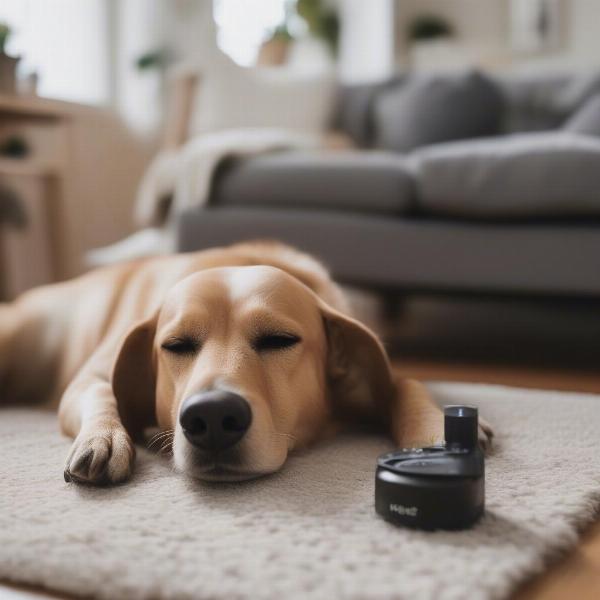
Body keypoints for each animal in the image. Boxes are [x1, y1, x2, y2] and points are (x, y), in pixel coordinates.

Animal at [1, 241, 492, 486]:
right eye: (176, 345)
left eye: (279, 341)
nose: (213, 417)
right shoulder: (89, 377)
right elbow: (102, 393)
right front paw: (104, 437)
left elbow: (404, 383)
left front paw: (434, 428)